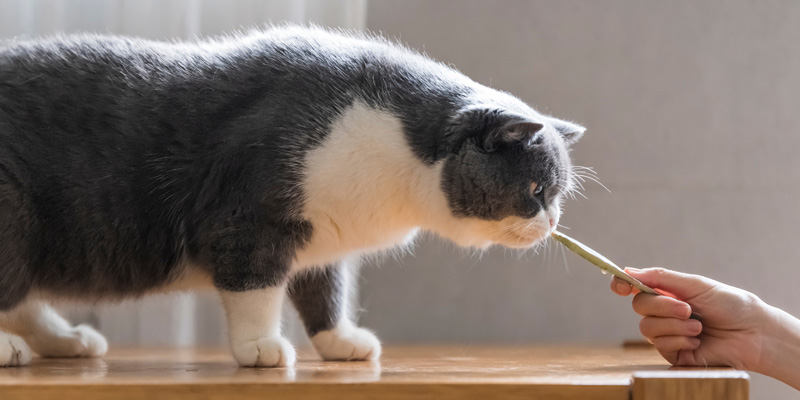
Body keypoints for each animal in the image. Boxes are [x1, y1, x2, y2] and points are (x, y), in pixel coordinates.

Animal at [1, 26, 588, 368]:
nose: (552, 224)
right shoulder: (252, 219)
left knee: (25, 299)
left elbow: (325, 291)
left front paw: (339, 342)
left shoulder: (325, 237)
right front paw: (259, 348)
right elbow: (256, 289)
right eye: (536, 191)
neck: (398, 157)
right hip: (14, 213)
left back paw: (66, 341)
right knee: (12, 289)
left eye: (557, 197)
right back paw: (13, 351)